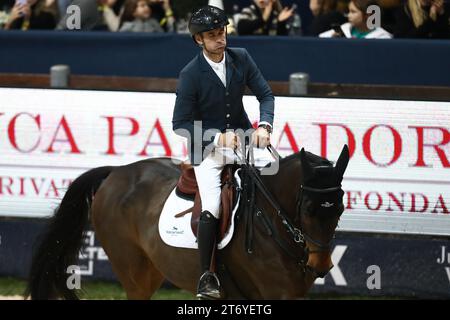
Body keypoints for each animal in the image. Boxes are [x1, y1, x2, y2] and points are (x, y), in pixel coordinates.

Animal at [24, 145, 350, 300]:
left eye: (340, 209)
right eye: (307, 209)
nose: (322, 265)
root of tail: (116, 171)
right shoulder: (278, 292)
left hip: (153, 269)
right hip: (132, 270)